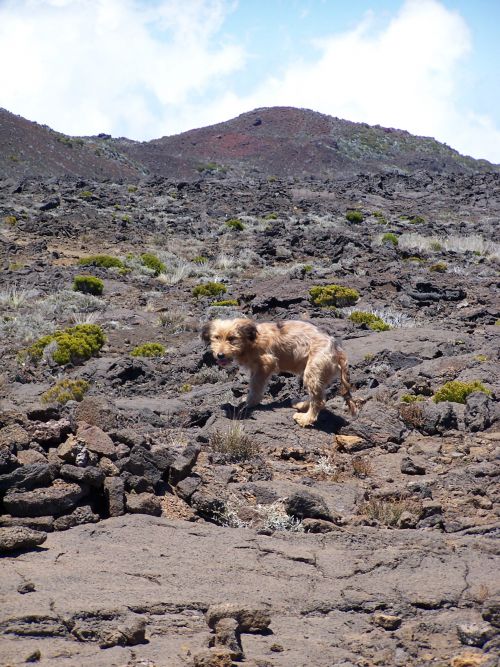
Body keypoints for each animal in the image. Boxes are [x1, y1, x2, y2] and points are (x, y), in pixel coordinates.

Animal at [199, 318, 356, 428]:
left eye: (232, 338)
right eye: (216, 337)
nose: (220, 355)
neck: (249, 341)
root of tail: (337, 349)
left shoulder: (265, 364)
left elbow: (255, 386)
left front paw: (250, 402)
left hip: (313, 370)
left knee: (319, 400)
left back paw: (305, 418)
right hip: (318, 373)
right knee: (319, 395)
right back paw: (302, 405)